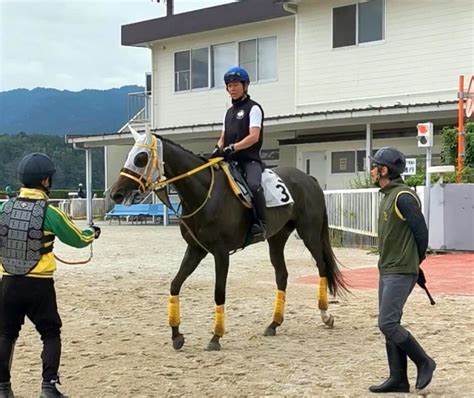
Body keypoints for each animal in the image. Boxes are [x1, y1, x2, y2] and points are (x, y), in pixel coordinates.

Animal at [111, 127, 348, 352]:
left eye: (141, 158)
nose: (116, 193)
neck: (205, 193)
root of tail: (309, 179)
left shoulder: (221, 252)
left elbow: (219, 292)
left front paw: (215, 337)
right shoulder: (195, 250)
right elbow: (175, 285)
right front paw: (176, 335)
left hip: (309, 233)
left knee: (322, 267)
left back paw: (326, 316)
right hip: (277, 238)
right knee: (282, 276)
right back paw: (274, 323)